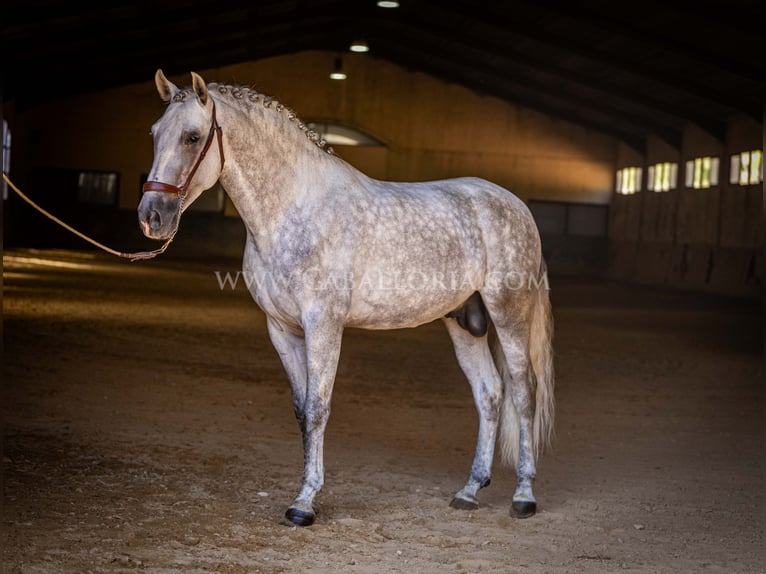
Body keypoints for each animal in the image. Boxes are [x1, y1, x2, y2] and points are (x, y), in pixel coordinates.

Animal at [138, 70, 556, 528]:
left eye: (193, 137)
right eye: (155, 133)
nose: (151, 217)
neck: (295, 207)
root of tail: (515, 205)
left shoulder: (323, 324)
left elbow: (319, 408)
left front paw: (304, 503)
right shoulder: (281, 328)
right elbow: (302, 411)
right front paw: (305, 492)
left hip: (509, 314)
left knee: (523, 392)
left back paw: (524, 496)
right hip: (465, 321)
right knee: (490, 393)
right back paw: (469, 491)